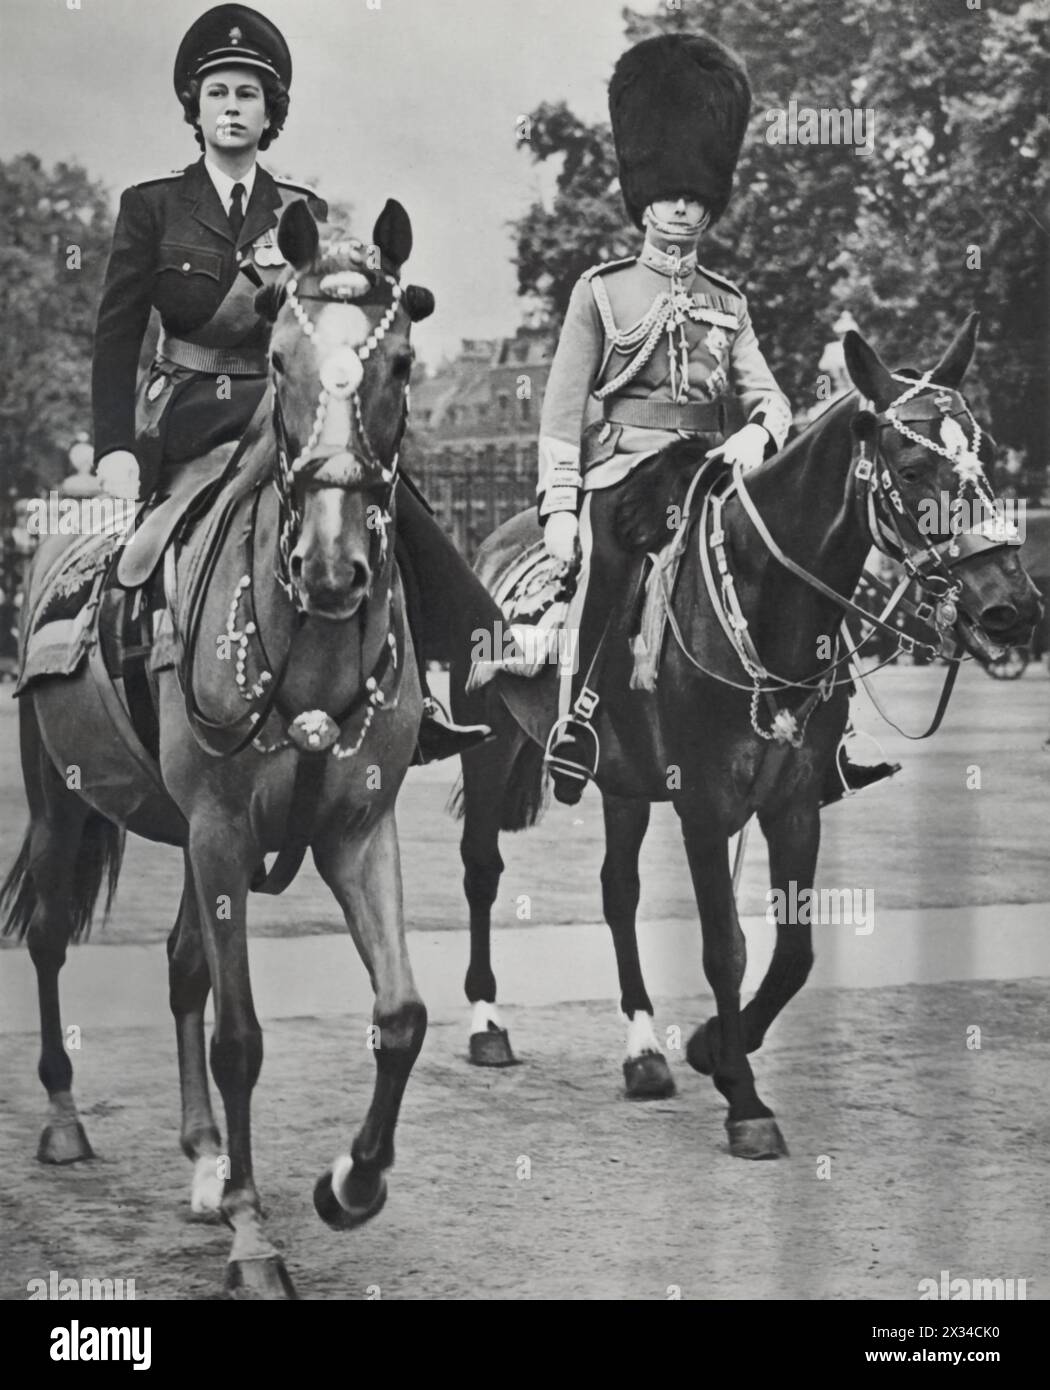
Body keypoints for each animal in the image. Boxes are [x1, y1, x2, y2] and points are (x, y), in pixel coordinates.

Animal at [1, 195, 431, 1289]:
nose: (332, 566)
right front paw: (253, 1234)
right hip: (67, 798)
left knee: (182, 963)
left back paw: (203, 1158)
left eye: (400, 363)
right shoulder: (223, 829)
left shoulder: (355, 829)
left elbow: (400, 1015)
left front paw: (350, 1184)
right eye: (277, 359)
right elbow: (241, 1037)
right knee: (52, 936)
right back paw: (66, 1120)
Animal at [450, 318, 1045, 1162]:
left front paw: (711, 1047)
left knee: (618, 891)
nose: (1011, 610)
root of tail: (497, 538)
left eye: (984, 456)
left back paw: (644, 1051)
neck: (767, 605)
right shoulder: (704, 806)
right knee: (482, 867)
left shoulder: (793, 802)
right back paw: (487, 1023)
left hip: (622, 781)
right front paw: (743, 1099)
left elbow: (794, 951)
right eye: (912, 466)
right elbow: (724, 946)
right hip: (492, 742)